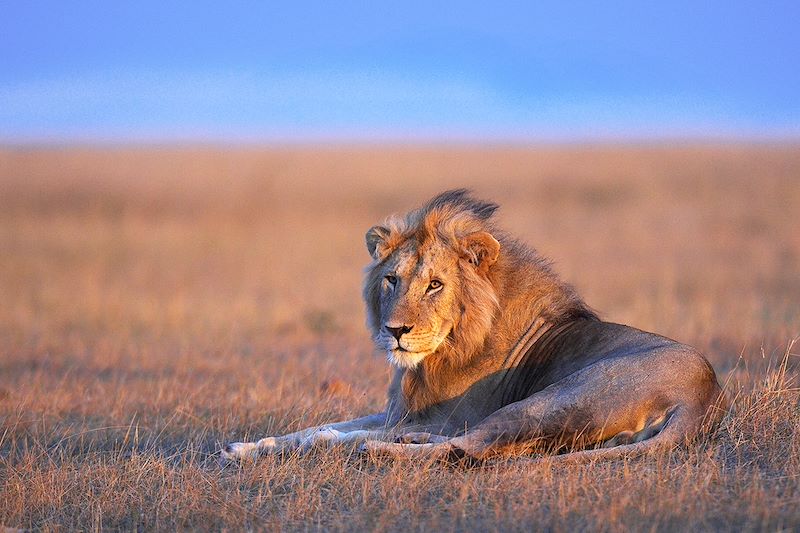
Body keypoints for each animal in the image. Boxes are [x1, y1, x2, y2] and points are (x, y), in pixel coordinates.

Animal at [222, 189, 728, 464]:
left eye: (435, 285)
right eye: (392, 279)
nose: (396, 331)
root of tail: (706, 397)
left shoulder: (445, 414)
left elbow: (327, 436)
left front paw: (323, 443)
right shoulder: (400, 412)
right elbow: (315, 427)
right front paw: (246, 446)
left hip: (554, 399)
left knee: (471, 447)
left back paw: (383, 451)